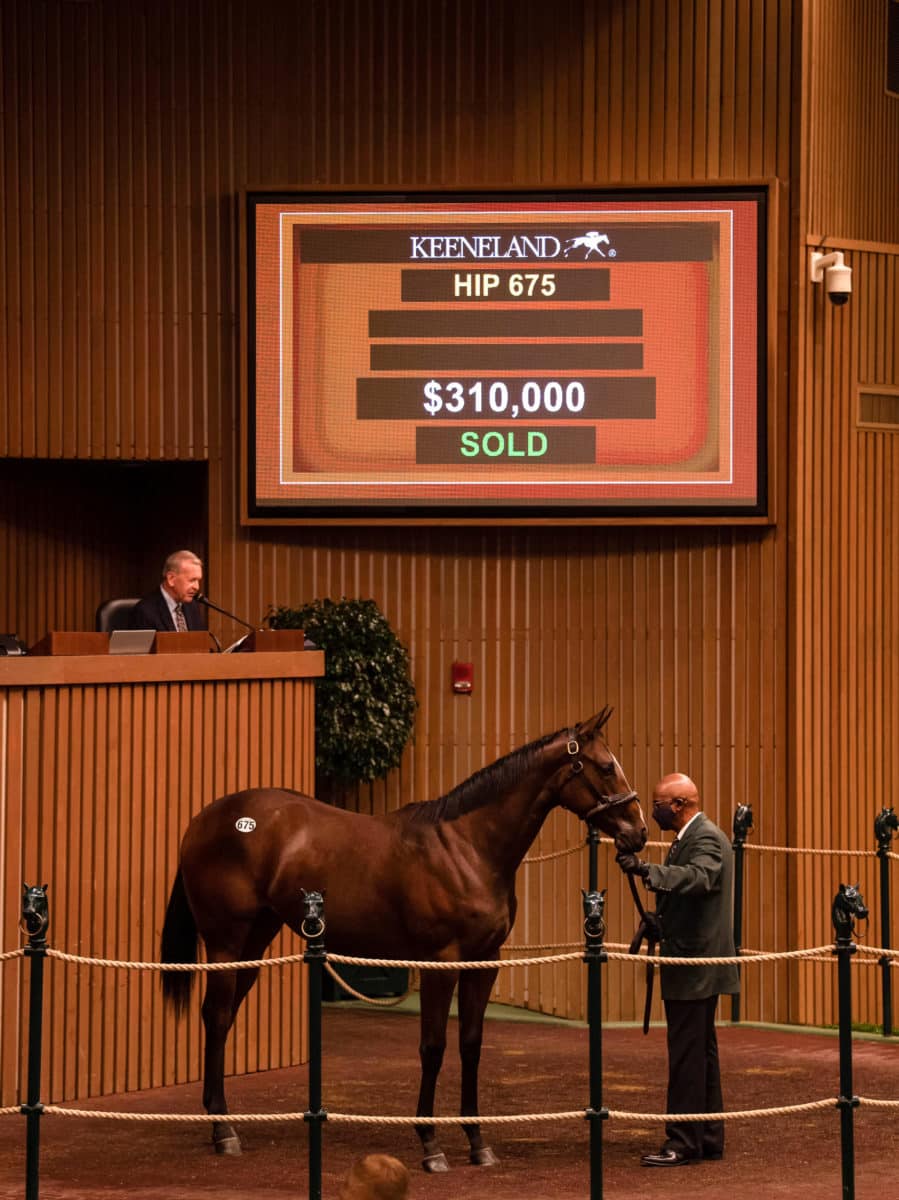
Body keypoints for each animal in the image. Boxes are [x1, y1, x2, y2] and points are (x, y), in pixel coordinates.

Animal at [157, 705, 643, 1166]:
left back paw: (224, 1120)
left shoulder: (485, 962)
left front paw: (477, 1141)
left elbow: (471, 1045)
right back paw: (223, 1131)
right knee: (216, 1016)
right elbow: (433, 1046)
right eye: (605, 766)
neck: (469, 849)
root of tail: (205, 818)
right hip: (226, 943)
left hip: (256, 942)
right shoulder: (440, 964)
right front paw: (430, 1143)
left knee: (222, 1019)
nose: (638, 832)